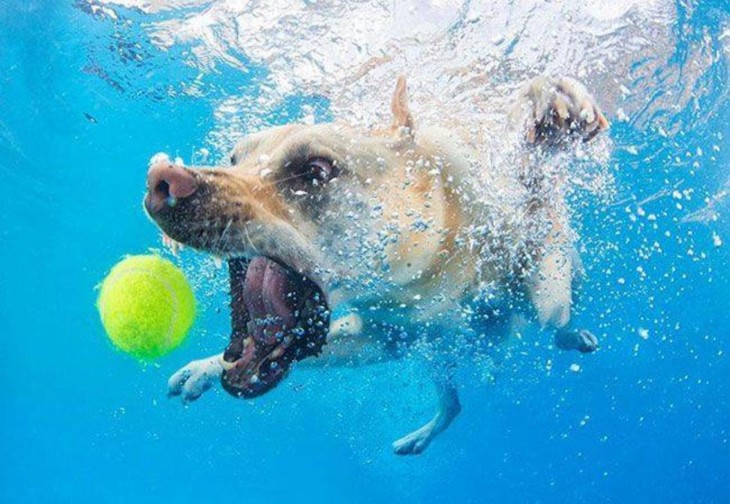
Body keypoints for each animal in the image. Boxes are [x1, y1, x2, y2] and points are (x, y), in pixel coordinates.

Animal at [145, 76, 604, 456]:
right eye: (233, 158)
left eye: (315, 170)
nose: (160, 178)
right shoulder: (383, 337)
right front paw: (203, 368)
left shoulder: (530, 265)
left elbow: (542, 262)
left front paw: (551, 109)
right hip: (436, 356)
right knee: (453, 404)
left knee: (557, 321)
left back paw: (573, 336)